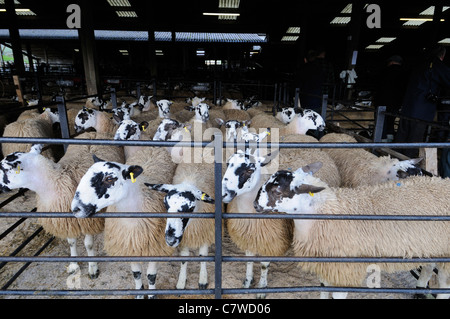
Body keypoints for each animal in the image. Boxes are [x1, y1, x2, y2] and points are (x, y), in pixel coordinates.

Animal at [0, 131, 123, 280]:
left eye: (4, 169)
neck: (54, 181)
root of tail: (93, 133)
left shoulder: (88, 219)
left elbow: (88, 244)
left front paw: (93, 267)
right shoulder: (66, 220)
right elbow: (71, 242)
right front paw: (74, 265)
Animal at [71, 143, 177, 300]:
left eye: (109, 178)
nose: (75, 208)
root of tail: (154, 147)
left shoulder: (156, 247)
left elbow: (151, 276)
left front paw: (152, 295)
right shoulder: (128, 244)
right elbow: (136, 274)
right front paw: (139, 295)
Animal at [255, 165, 448, 300]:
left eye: (277, 191)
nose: (255, 205)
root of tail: (442, 182)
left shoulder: (344, 270)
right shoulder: (326, 266)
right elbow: (323, 290)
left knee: (444, 287)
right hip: (431, 246)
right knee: (428, 266)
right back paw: (420, 289)